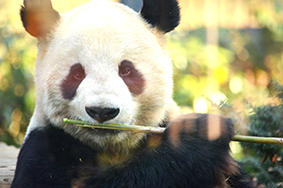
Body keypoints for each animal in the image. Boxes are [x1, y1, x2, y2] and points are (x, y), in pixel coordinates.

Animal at [11, 0, 255, 188]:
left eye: (126, 70)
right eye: (77, 73)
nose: (102, 111)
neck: (112, 148)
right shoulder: (45, 147)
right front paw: (201, 133)